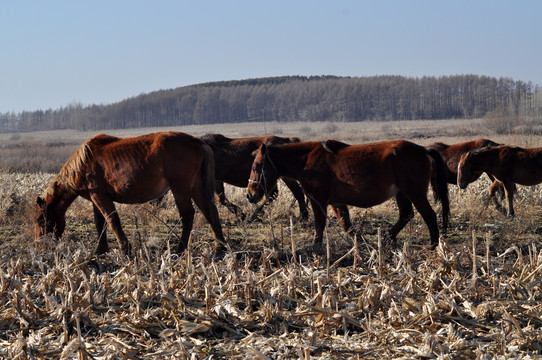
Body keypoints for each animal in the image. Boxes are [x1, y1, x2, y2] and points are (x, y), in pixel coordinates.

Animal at [34, 132, 226, 256]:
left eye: (41, 220)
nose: (40, 247)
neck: (83, 162)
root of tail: (199, 143)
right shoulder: (96, 199)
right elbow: (100, 223)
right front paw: (100, 250)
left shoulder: (100, 197)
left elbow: (112, 220)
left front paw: (124, 248)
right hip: (196, 188)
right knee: (210, 213)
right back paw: (220, 248)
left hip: (181, 189)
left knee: (188, 216)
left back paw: (180, 249)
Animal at [249, 139, 452, 249]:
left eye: (257, 166)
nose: (250, 195)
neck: (307, 160)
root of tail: (423, 149)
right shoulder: (336, 202)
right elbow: (347, 225)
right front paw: (362, 243)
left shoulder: (318, 200)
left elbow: (319, 224)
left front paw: (315, 246)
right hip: (402, 193)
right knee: (406, 215)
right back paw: (387, 238)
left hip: (415, 193)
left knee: (429, 215)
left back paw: (433, 245)